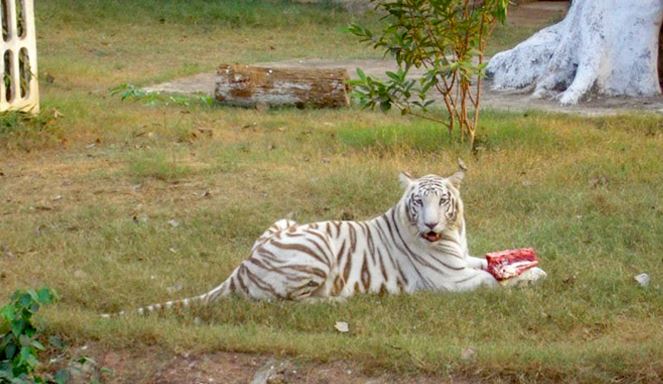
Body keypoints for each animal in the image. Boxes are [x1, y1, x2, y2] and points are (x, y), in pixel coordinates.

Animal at [104, 166, 548, 316]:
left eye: (442, 201)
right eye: (418, 202)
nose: (431, 225)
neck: (452, 237)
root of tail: (240, 269)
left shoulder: (462, 260)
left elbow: (489, 262)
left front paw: (528, 265)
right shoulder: (452, 281)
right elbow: (494, 282)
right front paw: (530, 276)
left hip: (283, 221)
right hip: (314, 251)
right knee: (284, 304)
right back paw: (340, 301)